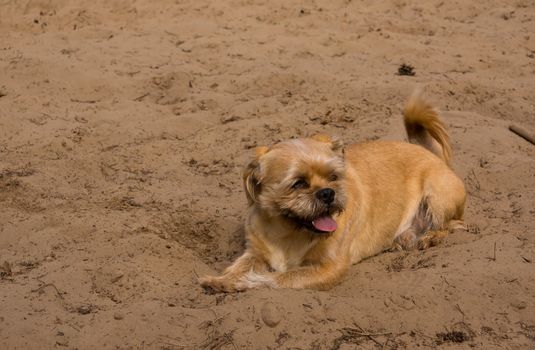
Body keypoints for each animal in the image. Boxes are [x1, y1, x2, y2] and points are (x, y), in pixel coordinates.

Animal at [199, 94, 466, 292]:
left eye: (334, 177)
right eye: (298, 184)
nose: (327, 193)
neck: (289, 232)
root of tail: (429, 152)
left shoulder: (328, 268)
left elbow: (282, 278)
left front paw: (247, 282)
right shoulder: (254, 253)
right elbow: (238, 266)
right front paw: (220, 280)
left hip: (438, 196)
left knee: (455, 225)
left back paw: (429, 237)